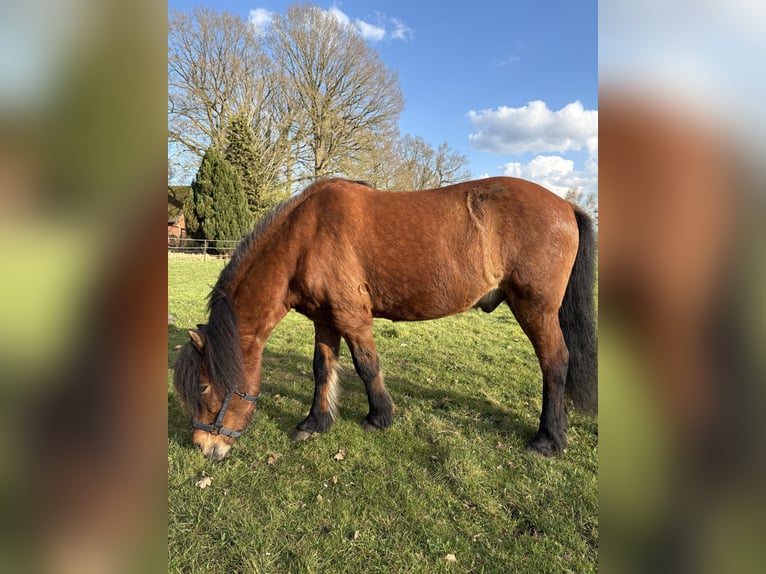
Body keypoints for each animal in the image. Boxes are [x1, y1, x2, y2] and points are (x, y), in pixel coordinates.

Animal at [173, 176, 597, 461]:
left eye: (205, 387)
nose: (203, 446)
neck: (306, 236)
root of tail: (565, 206)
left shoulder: (353, 318)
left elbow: (367, 365)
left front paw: (379, 417)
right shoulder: (325, 321)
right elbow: (322, 369)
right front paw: (315, 422)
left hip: (536, 310)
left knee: (555, 363)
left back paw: (548, 440)